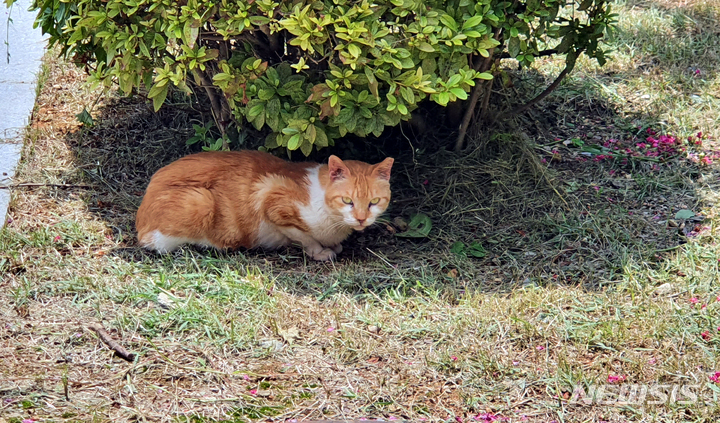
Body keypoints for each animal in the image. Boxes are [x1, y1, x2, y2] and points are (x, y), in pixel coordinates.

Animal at [135, 151, 394, 260]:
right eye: (347, 200)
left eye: (373, 202)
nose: (361, 218)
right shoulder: (270, 198)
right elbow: (304, 237)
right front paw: (320, 251)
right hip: (201, 202)